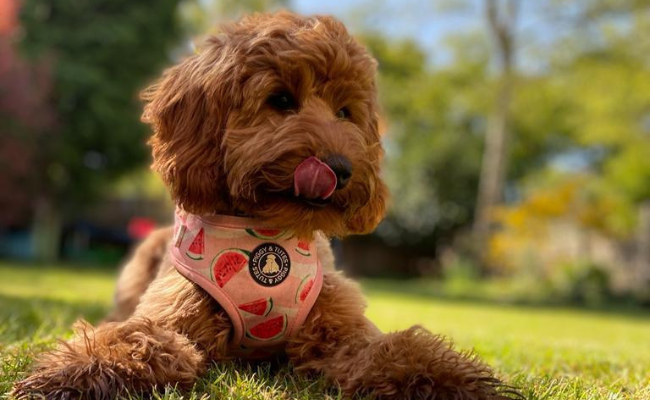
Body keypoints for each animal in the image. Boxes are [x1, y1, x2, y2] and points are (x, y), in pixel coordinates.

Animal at [11, 12, 516, 400]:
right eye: (281, 100)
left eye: (345, 112)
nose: (341, 168)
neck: (267, 232)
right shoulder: (171, 315)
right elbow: (135, 339)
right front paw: (72, 372)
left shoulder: (340, 330)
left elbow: (393, 349)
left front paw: (451, 377)